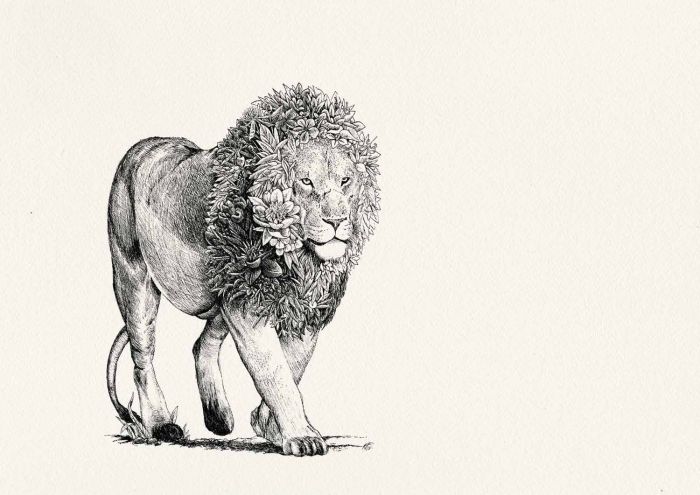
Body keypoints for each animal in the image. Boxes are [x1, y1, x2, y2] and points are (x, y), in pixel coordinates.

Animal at [106, 85, 380, 456]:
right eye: (306, 181)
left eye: (346, 180)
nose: (337, 220)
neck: (300, 256)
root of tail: (140, 148)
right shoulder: (248, 309)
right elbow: (276, 372)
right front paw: (300, 436)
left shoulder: (303, 308)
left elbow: (292, 365)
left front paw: (269, 427)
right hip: (134, 278)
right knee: (142, 358)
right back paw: (162, 424)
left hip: (225, 288)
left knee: (201, 344)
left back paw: (218, 417)